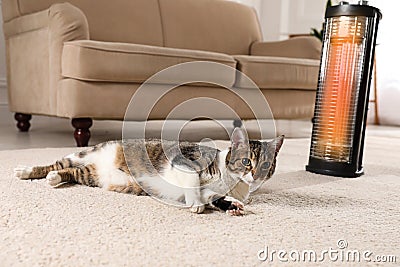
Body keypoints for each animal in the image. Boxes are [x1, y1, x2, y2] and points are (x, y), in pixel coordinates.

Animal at [14, 127, 284, 216]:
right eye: (246, 161)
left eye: (265, 166)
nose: (255, 175)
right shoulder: (185, 161)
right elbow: (193, 182)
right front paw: (196, 203)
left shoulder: (215, 192)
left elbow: (215, 198)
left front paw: (233, 206)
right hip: (84, 154)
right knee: (57, 163)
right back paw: (25, 170)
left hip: (90, 175)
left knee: (70, 171)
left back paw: (55, 178)